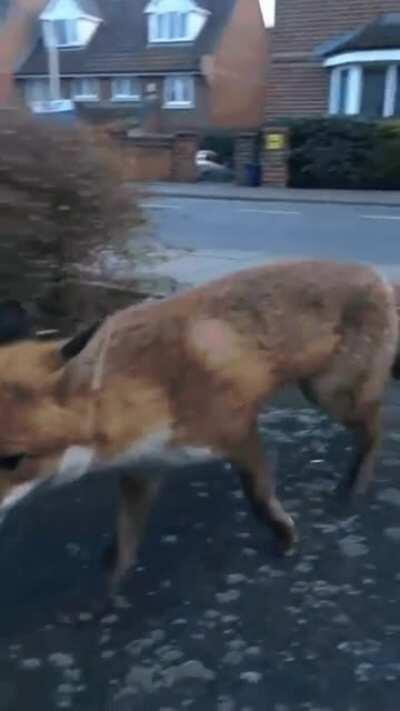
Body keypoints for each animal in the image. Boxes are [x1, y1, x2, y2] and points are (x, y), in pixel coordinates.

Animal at [0, 260, 398, 609]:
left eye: (14, 460)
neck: (153, 390)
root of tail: (375, 273)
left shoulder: (238, 431)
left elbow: (259, 498)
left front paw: (285, 538)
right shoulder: (144, 469)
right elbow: (122, 549)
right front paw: (103, 601)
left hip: (330, 394)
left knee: (376, 427)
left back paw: (357, 483)